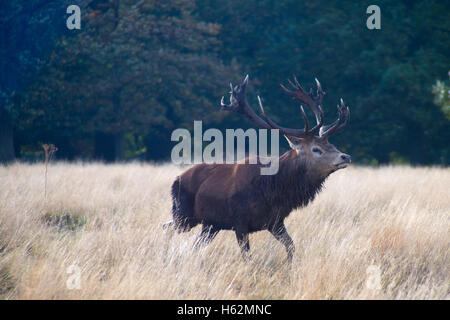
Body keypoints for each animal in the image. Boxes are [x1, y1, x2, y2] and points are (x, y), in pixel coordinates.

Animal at [165, 75, 352, 262]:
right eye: (316, 149)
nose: (345, 157)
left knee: (192, 244)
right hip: (184, 214)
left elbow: (291, 246)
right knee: (167, 227)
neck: (273, 189)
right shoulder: (239, 221)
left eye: (331, 144)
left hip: (210, 225)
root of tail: (176, 180)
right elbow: (247, 256)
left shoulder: (275, 222)